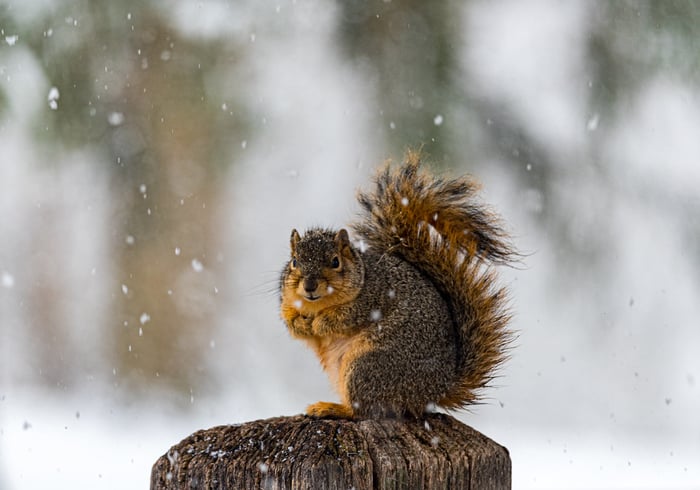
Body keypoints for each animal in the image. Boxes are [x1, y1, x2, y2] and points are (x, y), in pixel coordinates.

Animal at [279, 150, 515, 420]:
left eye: (335, 261)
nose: (309, 286)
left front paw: (320, 323)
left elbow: (345, 317)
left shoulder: (373, 298)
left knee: (363, 411)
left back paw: (332, 408)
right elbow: (290, 320)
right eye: (294, 261)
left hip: (368, 366)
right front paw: (299, 323)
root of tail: (433, 394)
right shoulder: (288, 300)